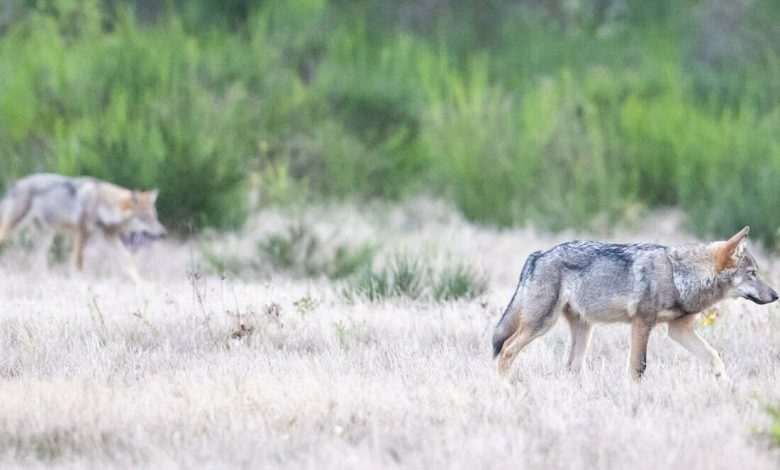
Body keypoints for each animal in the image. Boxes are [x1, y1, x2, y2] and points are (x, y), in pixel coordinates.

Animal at [0, 173, 166, 282]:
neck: (102, 203)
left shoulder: (110, 236)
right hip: (13, 230)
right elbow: (78, 263)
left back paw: (44, 281)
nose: (163, 234)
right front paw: (80, 284)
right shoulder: (82, 233)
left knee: (38, 262)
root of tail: (15, 185)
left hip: (46, 237)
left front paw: (143, 285)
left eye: (155, 217)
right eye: (145, 218)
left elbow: (128, 262)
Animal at [492, 227, 778, 381]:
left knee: (572, 366)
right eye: (752, 274)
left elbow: (715, 358)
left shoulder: (679, 330)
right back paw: (505, 389)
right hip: (542, 324)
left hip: (584, 330)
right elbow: (638, 367)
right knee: (506, 350)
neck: (678, 275)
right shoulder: (642, 322)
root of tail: (537, 255)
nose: (776, 296)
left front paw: (729, 388)